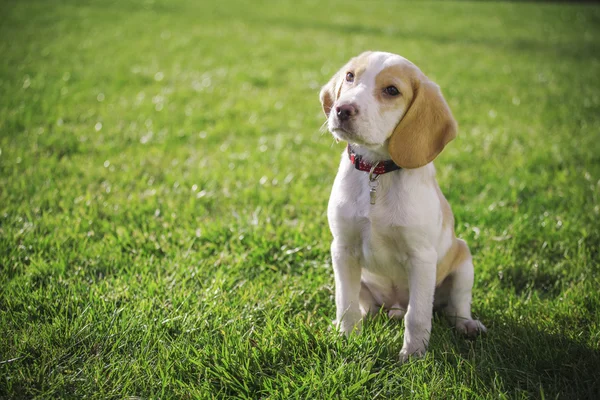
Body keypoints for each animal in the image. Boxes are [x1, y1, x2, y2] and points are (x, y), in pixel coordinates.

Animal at [322, 51, 486, 360]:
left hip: (463, 261)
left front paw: (413, 356)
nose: (341, 109)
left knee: (455, 305)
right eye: (350, 76)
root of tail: (394, 305)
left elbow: (418, 316)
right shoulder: (343, 249)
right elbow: (345, 304)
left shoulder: (421, 257)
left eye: (391, 90)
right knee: (366, 309)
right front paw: (346, 339)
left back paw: (467, 324)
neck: (377, 172)